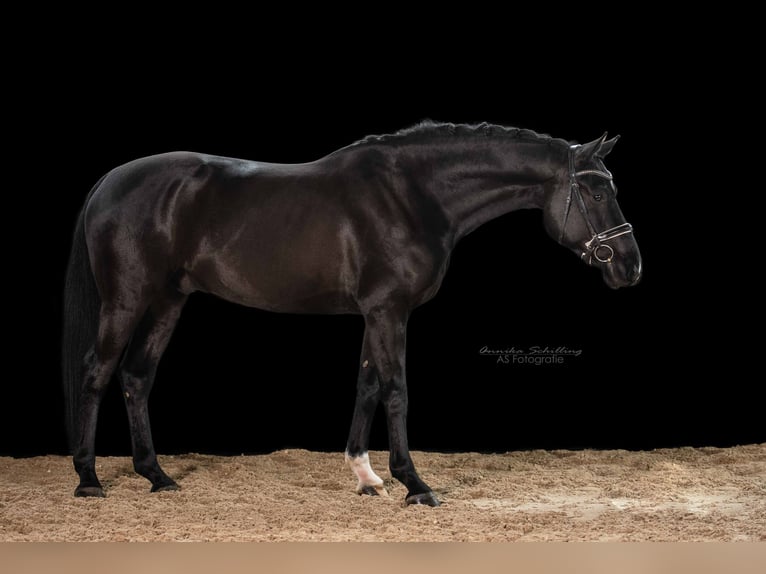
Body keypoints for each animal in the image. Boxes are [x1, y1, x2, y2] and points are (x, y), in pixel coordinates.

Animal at [62, 121, 642, 506]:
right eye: (595, 191)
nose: (630, 266)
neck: (412, 194)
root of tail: (109, 182)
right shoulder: (389, 310)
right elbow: (397, 390)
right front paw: (415, 485)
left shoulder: (375, 311)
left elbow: (366, 386)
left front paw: (366, 477)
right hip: (127, 298)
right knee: (95, 372)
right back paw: (89, 480)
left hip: (168, 300)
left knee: (137, 376)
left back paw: (156, 476)